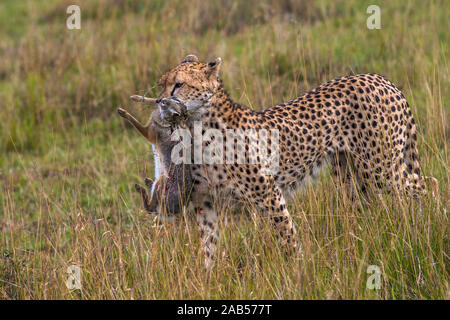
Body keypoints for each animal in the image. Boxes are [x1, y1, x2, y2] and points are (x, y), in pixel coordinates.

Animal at [149, 54, 440, 268]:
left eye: (179, 84)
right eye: (162, 83)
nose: (160, 101)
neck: (200, 128)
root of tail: (380, 79)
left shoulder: (270, 195)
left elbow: (287, 237)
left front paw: (299, 269)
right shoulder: (206, 204)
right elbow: (208, 247)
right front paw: (210, 278)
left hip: (381, 168)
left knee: (428, 184)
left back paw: (429, 224)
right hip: (351, 175)